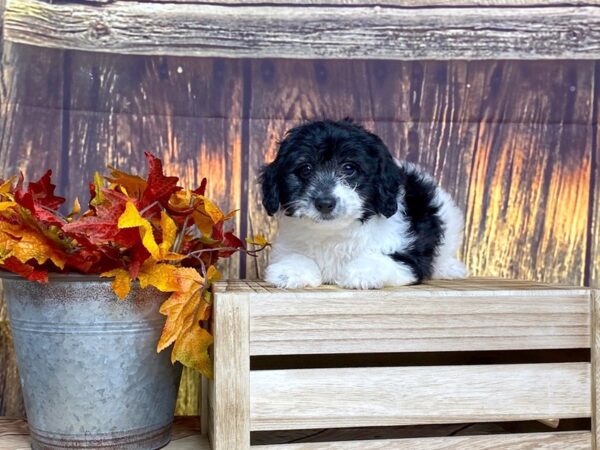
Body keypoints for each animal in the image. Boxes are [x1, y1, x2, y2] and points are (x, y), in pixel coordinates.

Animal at [260, 118, 466, 288]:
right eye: (306, 169)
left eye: (349, 168)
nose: (325, 202)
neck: (334, 232)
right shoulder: (287, 244)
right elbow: (294, 255)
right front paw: (290, 271)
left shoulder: (408, 258)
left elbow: (383, 259)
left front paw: (362, 272)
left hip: (449, 219)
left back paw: (450, 268)